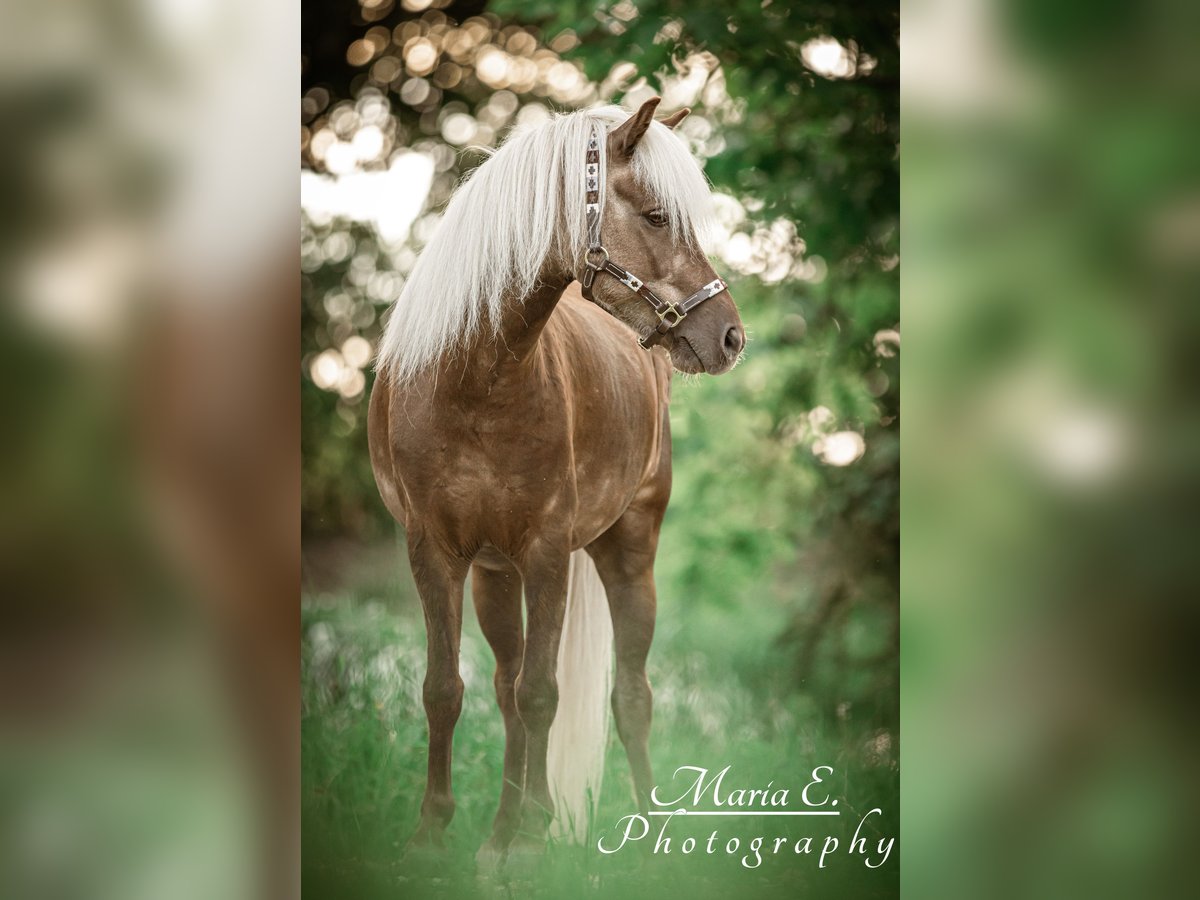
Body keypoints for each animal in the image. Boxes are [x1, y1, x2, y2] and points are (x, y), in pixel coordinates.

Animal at [367, 97, 739, 859]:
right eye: (655, 215)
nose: (729, 337)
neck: (473, 382)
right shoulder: (434, 553)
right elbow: (445, 689)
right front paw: (436, 830)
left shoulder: (546, 552)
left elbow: (544, 693)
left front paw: (531, 840)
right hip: (493, 574)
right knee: (505, 688)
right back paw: (504, 827)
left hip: (628, 553)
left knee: (630, 696)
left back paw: (644, 828)